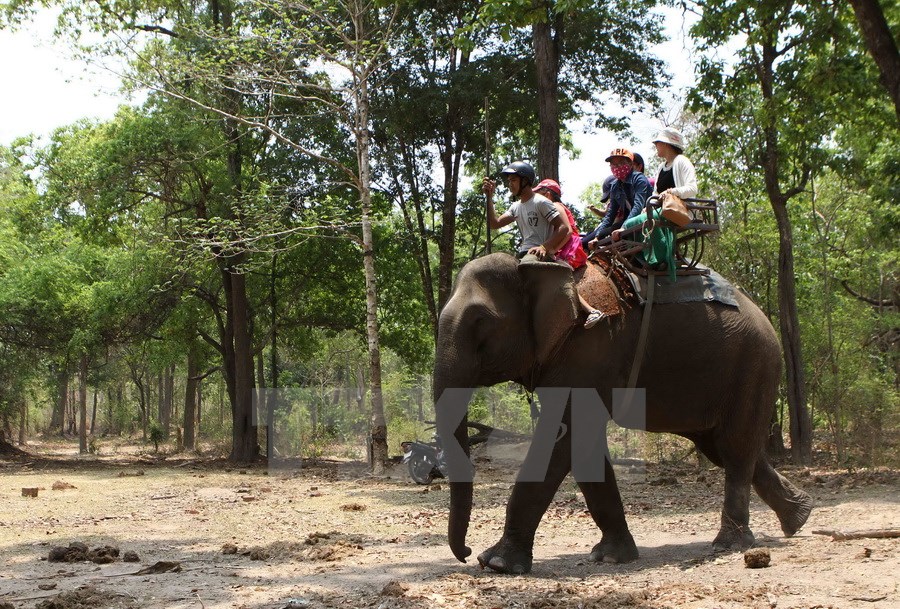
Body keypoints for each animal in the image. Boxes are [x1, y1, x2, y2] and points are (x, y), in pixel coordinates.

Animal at [432, 253, 812, 576]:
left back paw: (729, 545)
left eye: (481, 321)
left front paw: (496, 563)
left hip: (754, 364)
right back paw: (799, 516)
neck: (535, 267)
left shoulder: (591, 347)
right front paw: (612, 557)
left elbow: (564, 437)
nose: (465, 553)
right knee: (721, 447)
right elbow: (582, 444)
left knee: (735, 448)